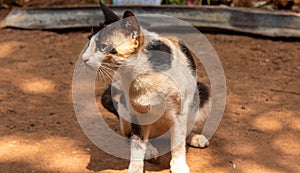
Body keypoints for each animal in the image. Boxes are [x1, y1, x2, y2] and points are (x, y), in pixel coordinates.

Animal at [82, 1, 211, 173]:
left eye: (102, 47)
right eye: (89, 41)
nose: (83, 58)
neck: (140, 74)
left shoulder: (179, 112)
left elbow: (178, 142)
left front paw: (179, 166)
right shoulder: (137, 111)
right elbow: (137, 145)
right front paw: (135, 168)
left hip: (202, 94)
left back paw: (195, 137)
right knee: (133, 136)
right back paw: (149, 149)